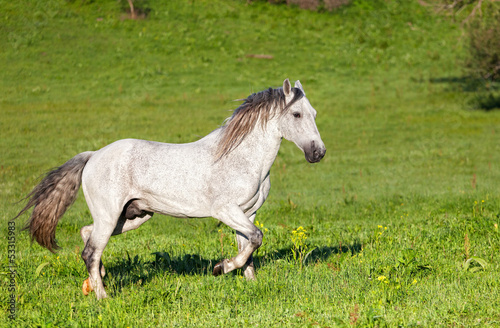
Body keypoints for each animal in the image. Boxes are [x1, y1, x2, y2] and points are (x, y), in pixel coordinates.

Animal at [14, 78, 324, 298]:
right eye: (296, 115)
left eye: (314, 113)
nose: (318, 153)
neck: (241, 158)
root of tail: (93, 155)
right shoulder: (226, 210)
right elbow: (256, 239)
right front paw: (220, 268)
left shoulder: (248, 213)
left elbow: (248, 245)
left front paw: (249, 283)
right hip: (110, 216)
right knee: (90, 251)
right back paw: (103, 297)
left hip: (131, 217)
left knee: (88, 236)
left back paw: (94, 281)